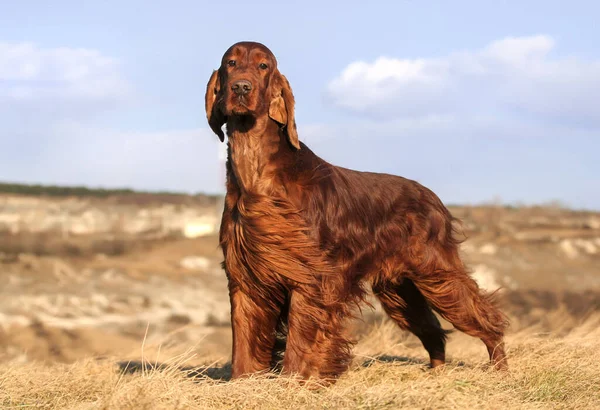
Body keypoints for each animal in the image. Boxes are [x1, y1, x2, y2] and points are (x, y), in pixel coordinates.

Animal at [204, 40, 508, 382]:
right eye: (230, 63)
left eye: (263, 66)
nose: (241, 87)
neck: (257, 175)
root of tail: (432, 197)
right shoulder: (245, 278)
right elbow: (244, 345)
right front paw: (242, 383)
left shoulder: (311, 280)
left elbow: (300, 344)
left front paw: (295, 382)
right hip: (400, 290)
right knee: (433, 332)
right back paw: (435, 376)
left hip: (438, 275)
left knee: (487, 319)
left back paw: (501, 370)